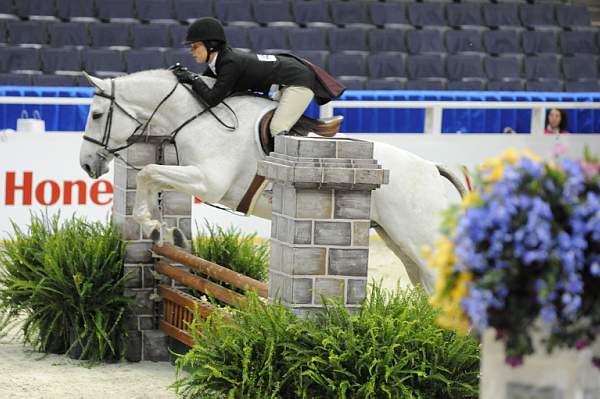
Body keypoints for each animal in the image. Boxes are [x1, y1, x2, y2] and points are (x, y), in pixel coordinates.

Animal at [79, 70, 464, 292]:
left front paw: (153, 226)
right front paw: (165, 231)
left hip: (417, 237)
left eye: (96, 114)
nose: (86, 164)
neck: (195, 117)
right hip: (399, 241)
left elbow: (147, 172)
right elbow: (152, 179)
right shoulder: (189, 174)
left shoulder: (207, 182)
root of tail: (432, 169)